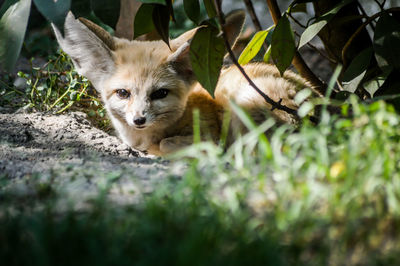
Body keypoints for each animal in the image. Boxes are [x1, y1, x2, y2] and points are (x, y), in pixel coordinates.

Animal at [53, 10, 310, 156]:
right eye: (123, 93)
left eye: (160, 93)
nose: (139, 120)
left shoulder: (211, 135)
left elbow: (167, 145)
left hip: (243, 105)